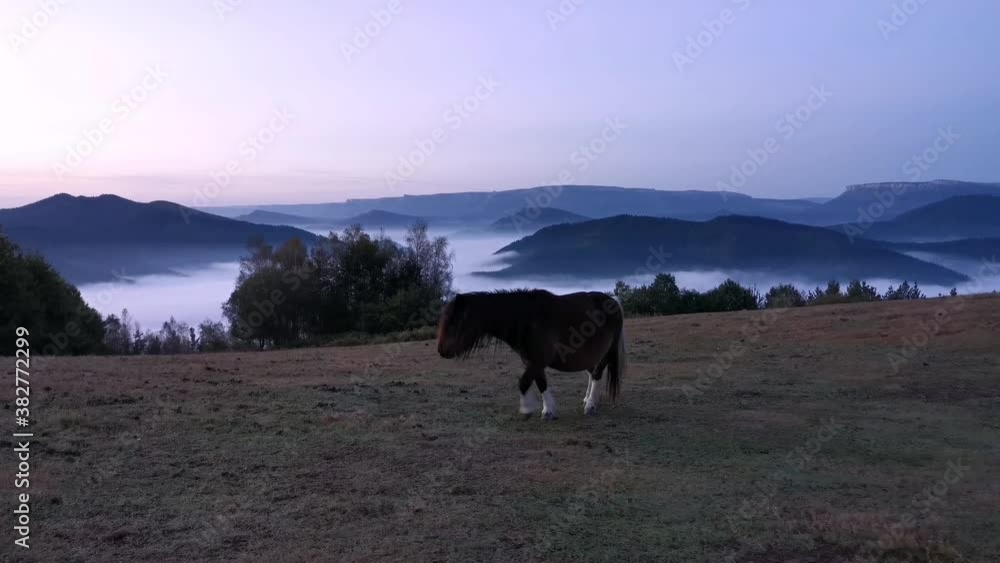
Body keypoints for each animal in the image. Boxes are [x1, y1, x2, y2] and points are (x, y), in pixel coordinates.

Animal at [436, 289, 626, 420]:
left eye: (454, 322)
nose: (441, 350)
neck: (526, 319)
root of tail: (614, 302)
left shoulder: (539, 360)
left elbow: (523, 382)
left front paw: (527, 409)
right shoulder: (532, 361)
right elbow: (540, 383)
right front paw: (548, 410)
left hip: (607, 352)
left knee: (596, 374)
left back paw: (591, 406)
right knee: (591, 373)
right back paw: (587, 399)